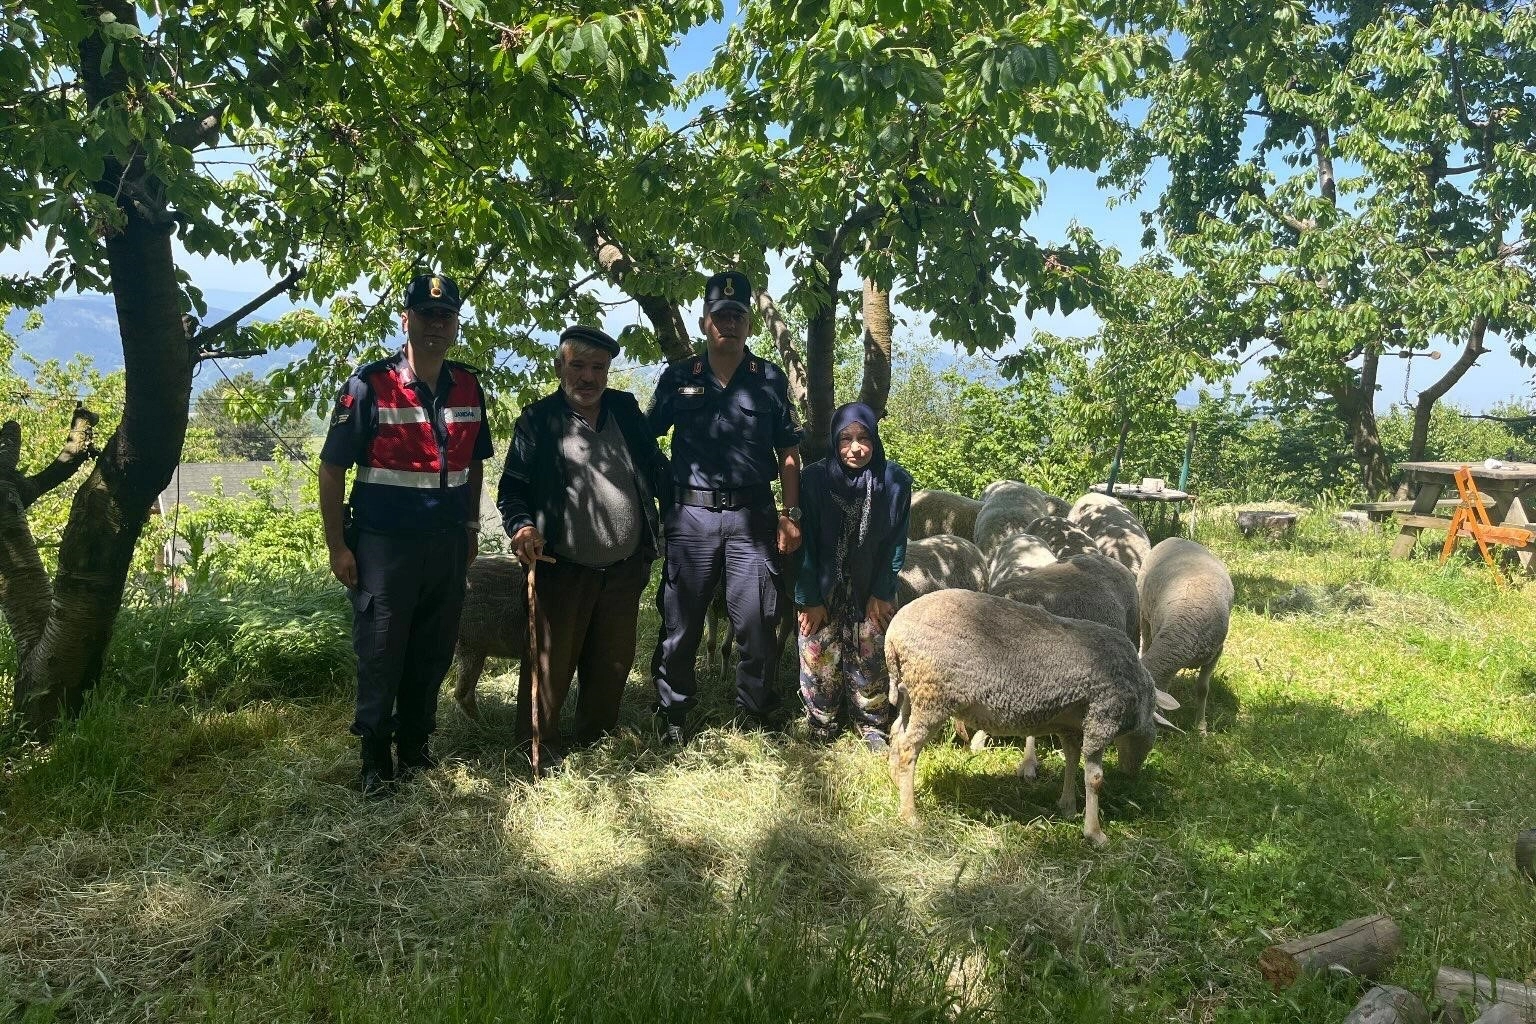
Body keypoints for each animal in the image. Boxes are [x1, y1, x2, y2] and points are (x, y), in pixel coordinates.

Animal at [884, 592, 1179, 847]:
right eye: (1151, 742)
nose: (1131, 775)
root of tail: (893, 634)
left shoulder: (1071, 725)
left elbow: (1072, 761)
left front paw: (1068, 807)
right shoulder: (1102, 717)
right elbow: (1094, 778)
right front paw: (1094, 832)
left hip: (911, 691)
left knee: (897, 733)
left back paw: (898, 783)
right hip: (932, 695)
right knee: (909, 748)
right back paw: (910, 815)